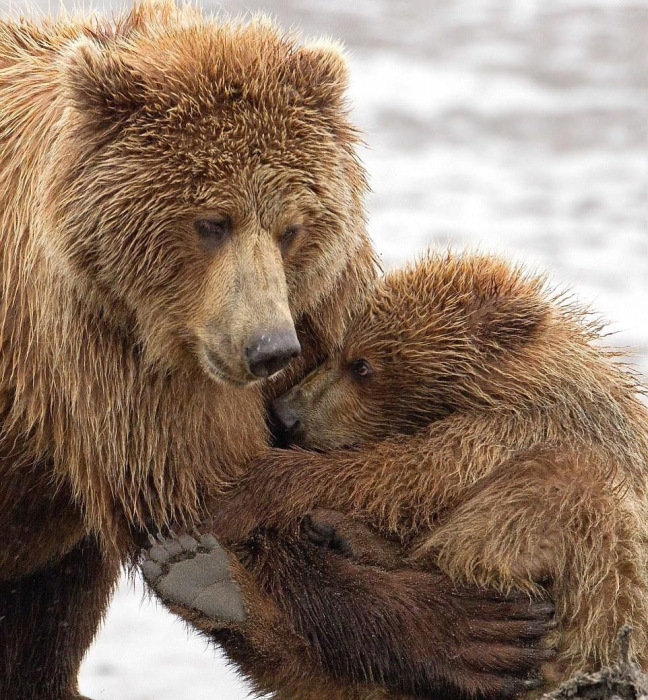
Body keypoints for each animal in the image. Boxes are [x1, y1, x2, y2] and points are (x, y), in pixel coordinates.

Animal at [0, 2, 552, 696]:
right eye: (211, 221)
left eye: (291, 226)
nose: (269, 348)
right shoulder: (100, 342)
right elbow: (195, 486)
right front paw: (470, 630)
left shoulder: (316, 304)